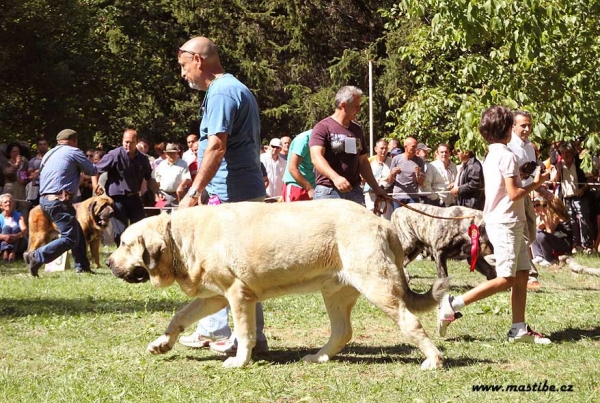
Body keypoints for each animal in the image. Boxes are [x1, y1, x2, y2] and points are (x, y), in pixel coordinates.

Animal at [105, 199, 448, 370]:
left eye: (124, 244)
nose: (108, 262)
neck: (178, 238)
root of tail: (382, 222)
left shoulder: (237, 295)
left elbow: (244, 333)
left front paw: (239, 361)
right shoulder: (215, 297)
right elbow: (179, 316)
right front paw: (162, 343)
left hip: (377, 286)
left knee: (411, 323)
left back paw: (433, 359)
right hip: (334, 292)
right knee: (342, 331)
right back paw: (318, 357)